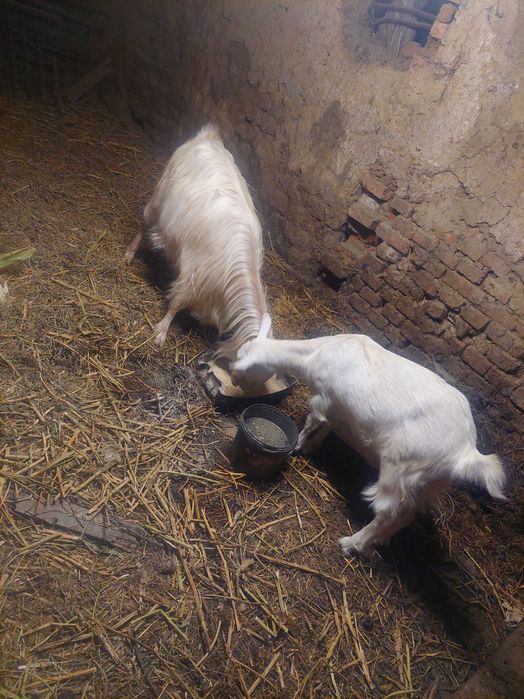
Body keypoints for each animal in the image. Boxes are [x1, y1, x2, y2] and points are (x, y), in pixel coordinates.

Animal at [125, 124, 269, 360]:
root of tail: (207, 137)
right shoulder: (193, 277)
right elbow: (176, 303)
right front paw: (161, 332)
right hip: (159, 196)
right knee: (145, 223)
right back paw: (130, 253)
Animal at [231, 316, 506, 554]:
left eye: (244, 365)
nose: (233, 380)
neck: (316, 355)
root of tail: (466, 451)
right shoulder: (336, 406)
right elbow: (329, 426)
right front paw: (312, 446)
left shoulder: (322, 400)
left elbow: (311, 424)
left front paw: (298, 446)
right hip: (427, 483)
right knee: (406, 515)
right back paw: (381, 540)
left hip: (400, 469)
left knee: (389, 513)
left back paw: (353, 543)